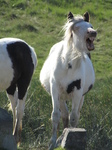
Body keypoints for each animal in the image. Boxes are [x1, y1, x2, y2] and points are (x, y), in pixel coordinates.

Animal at [40, 11, 97, 149]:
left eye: (91, 26)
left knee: (72, 115)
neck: (68, 65)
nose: (93, 33)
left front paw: (70, 136)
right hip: (61, 97)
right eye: (76, 28)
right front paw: (52, 143)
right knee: (64, 115)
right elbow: (56, 116)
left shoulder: (77, 92)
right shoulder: (55, 90)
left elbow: (73, 117)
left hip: (80, 97)